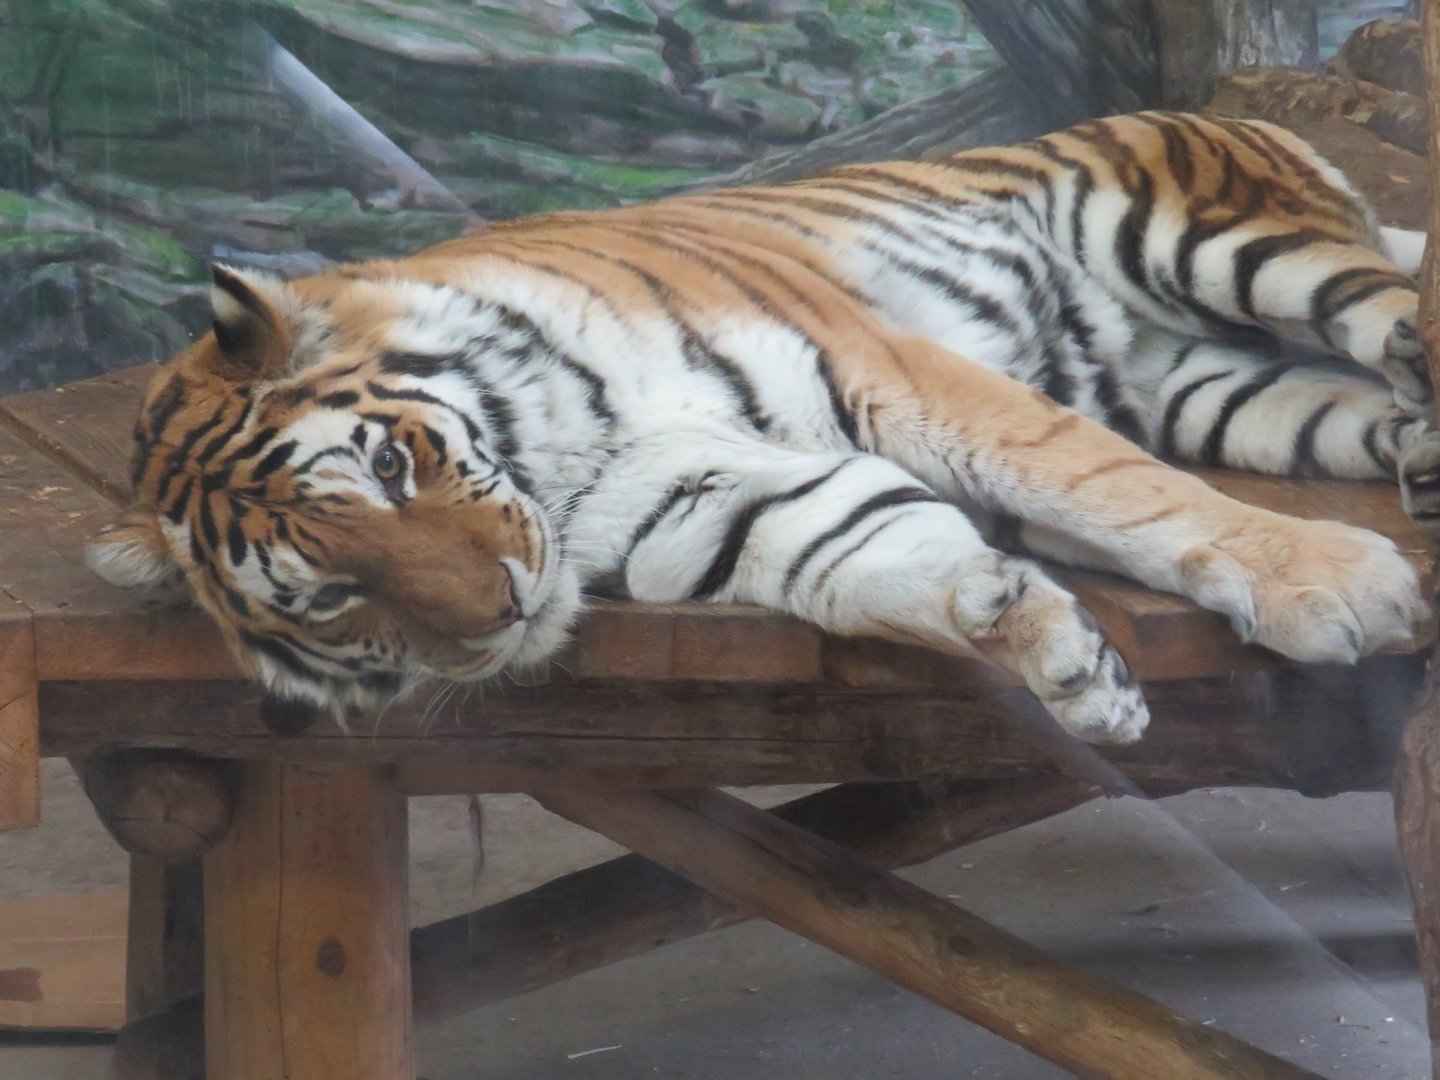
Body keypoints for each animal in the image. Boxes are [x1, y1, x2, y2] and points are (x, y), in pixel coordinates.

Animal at [87, 110, 1438, 746]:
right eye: (331, 598)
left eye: (386, 462)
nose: (504, 612)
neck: (556, 459)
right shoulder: (716, 500)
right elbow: (875, 551)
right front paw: (1045, 649)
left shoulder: (895, 370)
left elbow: (1112, 486)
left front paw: (1330, 585)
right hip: (1229, 393)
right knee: (1353, 406)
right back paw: (1417, 458)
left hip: (1223, 242)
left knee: (1393, 314)